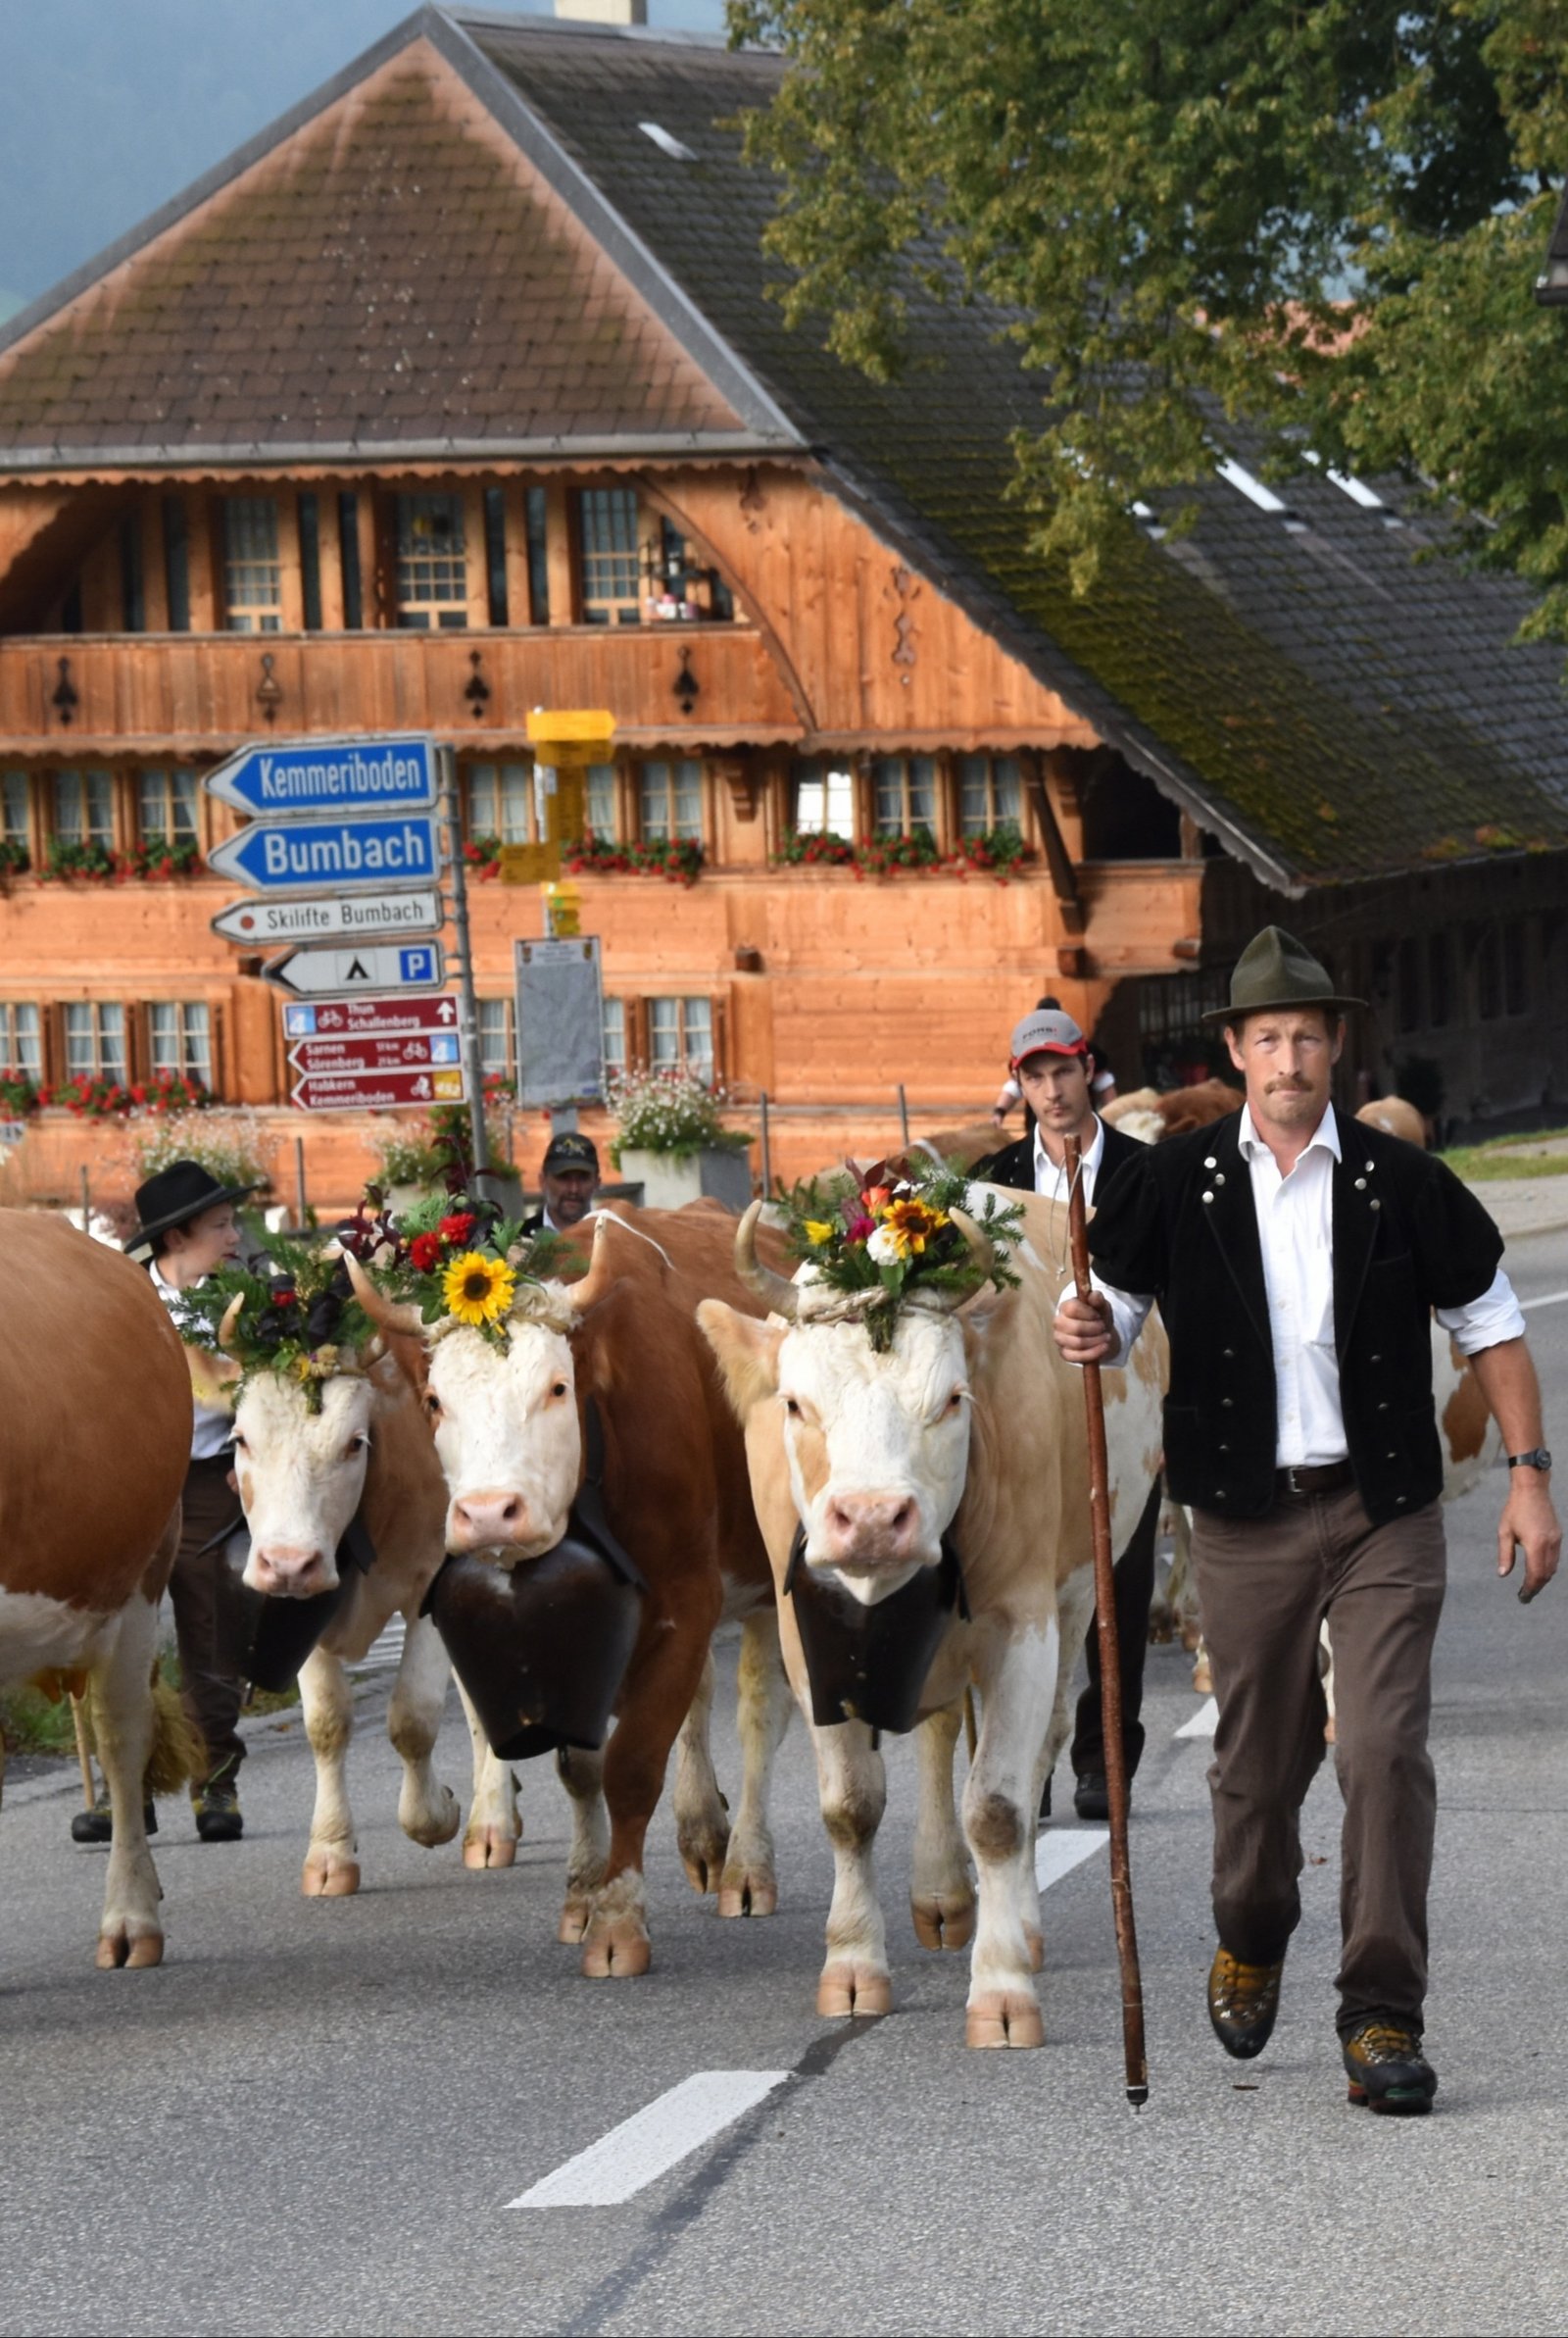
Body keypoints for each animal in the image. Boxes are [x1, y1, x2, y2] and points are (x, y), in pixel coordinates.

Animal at [347, 1202, 795, 1976]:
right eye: (434, 1400)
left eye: (556, 1389)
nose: (489, 1512)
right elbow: (581, 1768)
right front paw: (584, 1894)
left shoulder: (687, 1597)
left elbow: (633, 1764)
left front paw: (618, 1922)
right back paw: (703, 1832)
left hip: (763, 1580)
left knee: (761, 1716)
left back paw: (746, 1867)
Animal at [698, 1187, 1166, 2048]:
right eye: (795, 1402)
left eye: (951, 1399)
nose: (873, 1518)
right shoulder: (809, 1641)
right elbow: (850, 1807)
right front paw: (853, 1965)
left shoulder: (1022, 1629)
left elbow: (1000, 1809)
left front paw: (1004, 1987)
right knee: (941, 1733)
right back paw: (943, 1894)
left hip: (1079, 1596)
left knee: (1037, 1749)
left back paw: (1015, 1923)